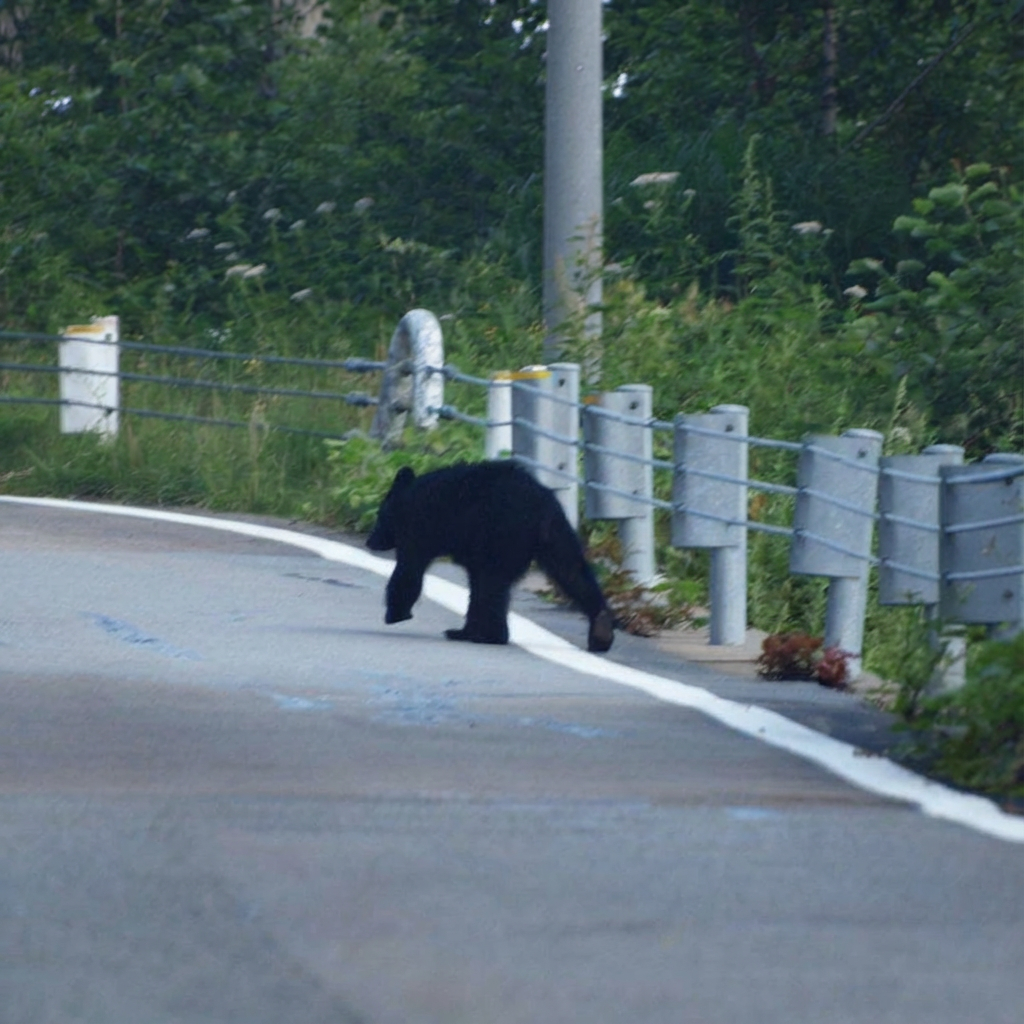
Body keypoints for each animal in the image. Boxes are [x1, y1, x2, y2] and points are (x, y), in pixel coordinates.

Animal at [366, 460, 615, 653]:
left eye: (379, 515)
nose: (370, 541)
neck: (407, 497)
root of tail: (540, 506)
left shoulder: (418, 529)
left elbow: (409, 570)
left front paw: (395, 613)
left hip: (503, 536)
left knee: (491, 585)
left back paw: (486, 636)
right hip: (555, 532)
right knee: (572, 570)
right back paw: (601, 630)